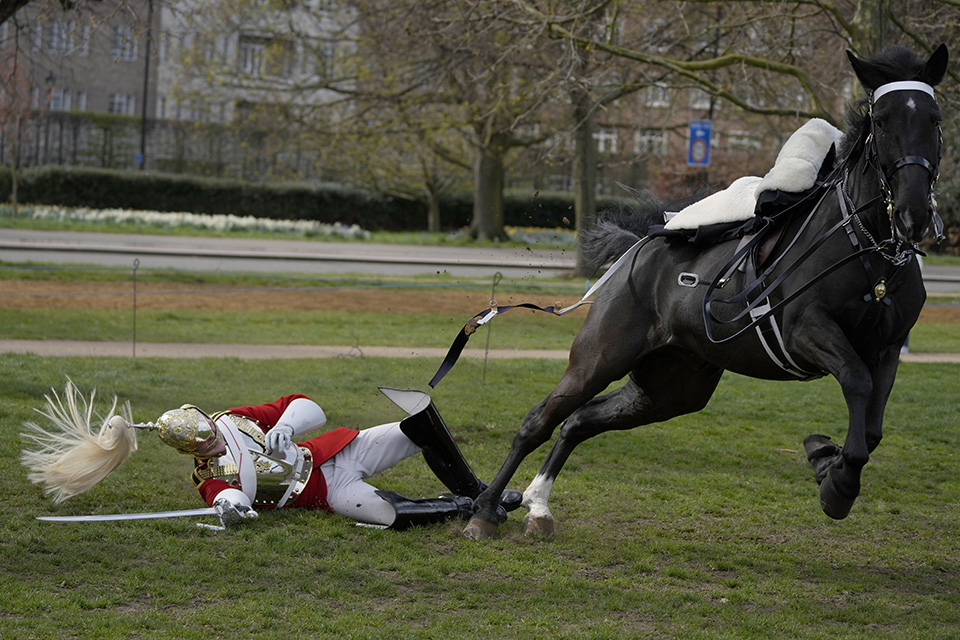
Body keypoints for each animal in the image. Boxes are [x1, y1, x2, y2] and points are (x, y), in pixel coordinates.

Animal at [466, 42, 952, 536]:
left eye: (934, 120)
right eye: (882, 120)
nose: (913, 213)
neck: (867, 246)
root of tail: (637, 249)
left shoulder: (888, 348)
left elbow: (870, 429)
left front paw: (826, 459)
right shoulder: (806, 330)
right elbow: (855, 382)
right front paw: (837, 481)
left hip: (671, 387)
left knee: (580, 422)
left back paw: (539, 506)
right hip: (600, 358)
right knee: (540, 421)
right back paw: (485, 510)